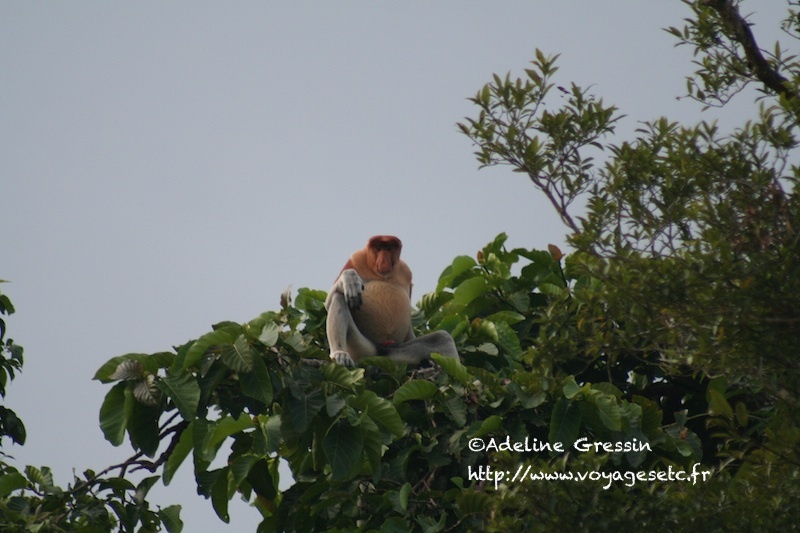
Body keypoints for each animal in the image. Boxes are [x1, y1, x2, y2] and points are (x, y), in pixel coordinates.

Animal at [325, 236, 459, 368]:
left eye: (389, 248)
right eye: (379, 248)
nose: (384, 261)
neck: (383, 275)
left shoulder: (406, 271)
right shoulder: (356, 258)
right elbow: (328, 302)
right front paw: (349, 279)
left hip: (395, 352)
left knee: (442, 338)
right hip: (362, 347)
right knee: (339, 297)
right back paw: (340, 354)